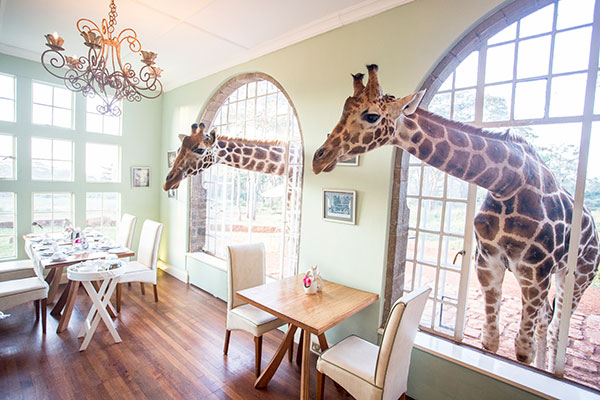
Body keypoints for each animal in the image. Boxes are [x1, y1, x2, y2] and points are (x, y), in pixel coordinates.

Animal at [312, 65, 600, 368]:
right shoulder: (488, 266)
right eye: (343, 110)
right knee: (546, 319)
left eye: (371, 115)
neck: (507, 183)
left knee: (555, 327)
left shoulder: (534, 273)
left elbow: (522, 352)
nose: (319, 158)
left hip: (577, 275)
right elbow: (490, 342)